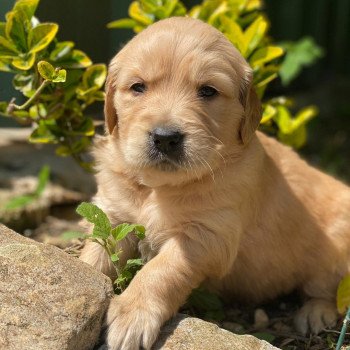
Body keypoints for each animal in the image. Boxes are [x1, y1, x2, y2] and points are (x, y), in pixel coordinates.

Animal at [79, 16, 350, 350]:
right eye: (138, 87)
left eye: (207, 91)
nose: (165, 138)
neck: (160, 186)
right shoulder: (113, 214)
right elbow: (96, 251)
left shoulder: (207, 235)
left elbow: (162, 270)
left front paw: (131, 314)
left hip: (336, 248)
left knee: (328, 291)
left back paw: (315, 314)